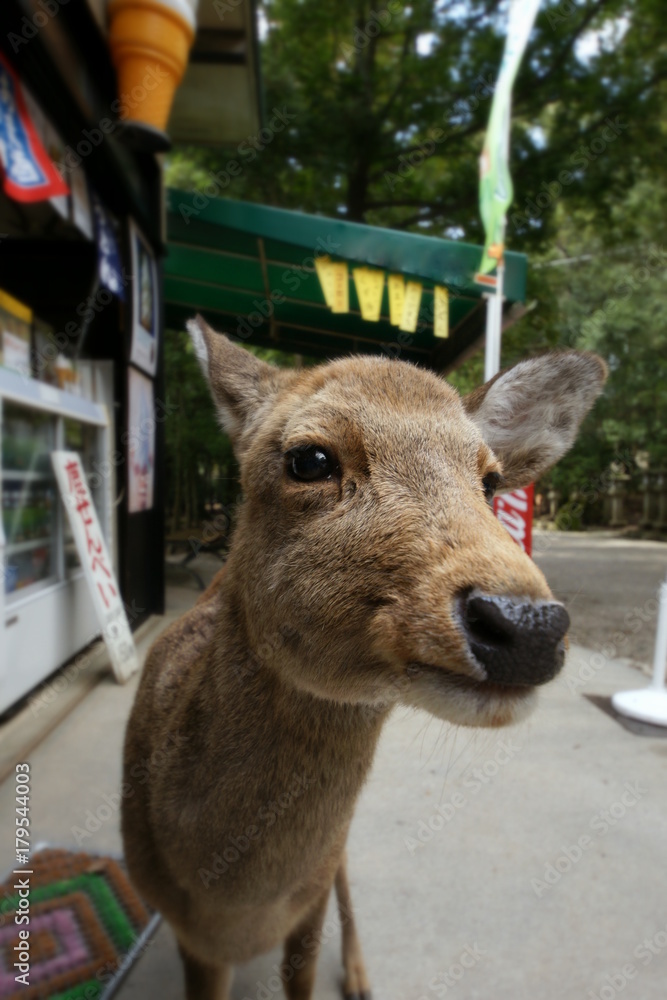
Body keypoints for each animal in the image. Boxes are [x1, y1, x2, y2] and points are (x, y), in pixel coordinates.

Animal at [121, 314, 606, 1000]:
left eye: (490, 481)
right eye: (310, 459)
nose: (529, 624)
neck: (233, 907)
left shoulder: (307, 901)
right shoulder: (195, 940)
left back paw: (357, 975)